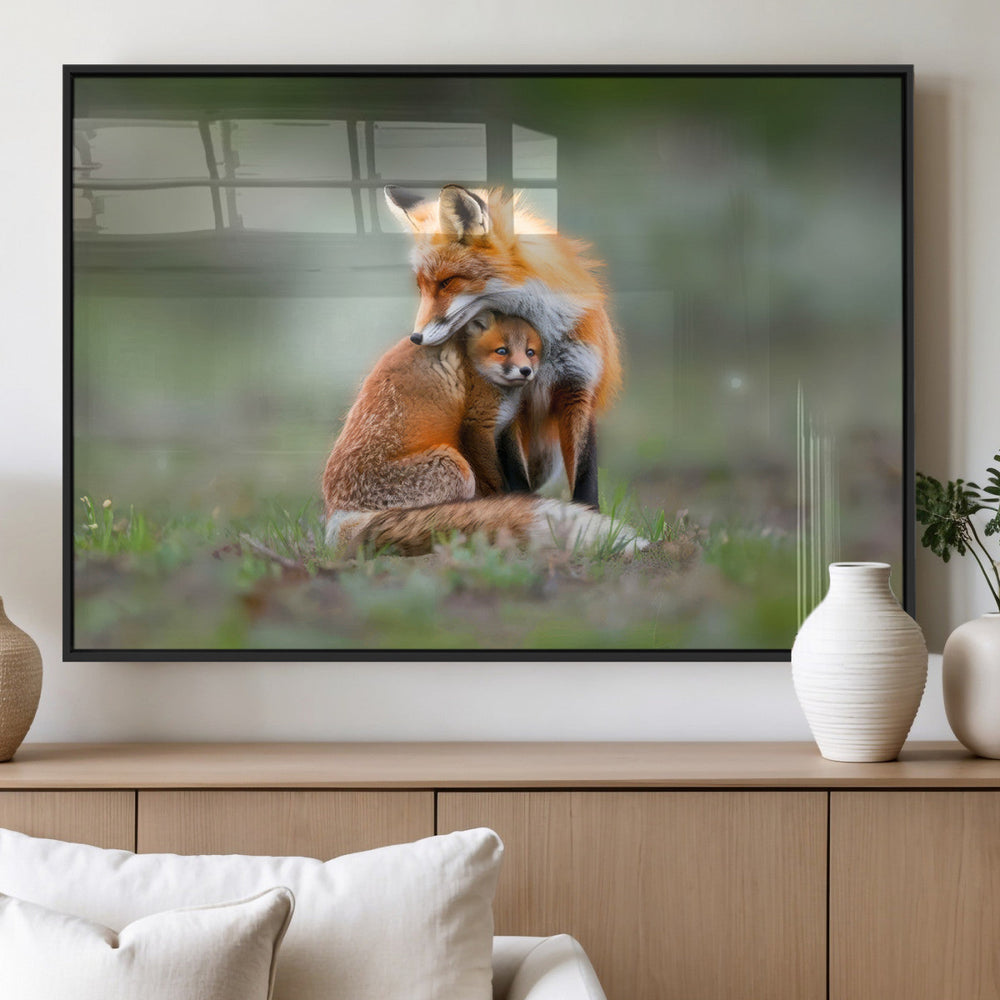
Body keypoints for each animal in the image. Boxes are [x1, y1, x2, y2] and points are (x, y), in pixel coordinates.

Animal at [384, 183, 623, 510]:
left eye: (447, 282)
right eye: (421, 287)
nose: (415, 338)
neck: (543, 341)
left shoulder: (578, 388)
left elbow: (585, 476)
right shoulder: (509, 403)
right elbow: (515, 474)